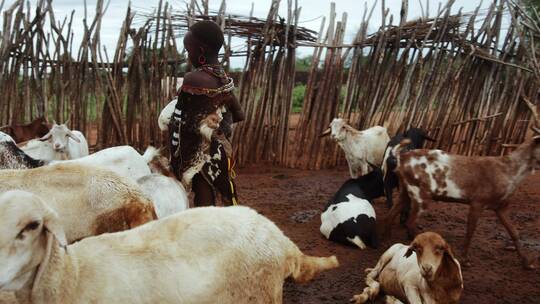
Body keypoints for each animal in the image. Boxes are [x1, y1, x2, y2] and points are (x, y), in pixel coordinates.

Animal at [384, 98, 540, 268]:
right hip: (420, 193)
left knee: (391, 214)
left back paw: (385, 242)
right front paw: (465, 260)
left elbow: (514, 232)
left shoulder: (501, 206)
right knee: (410, 222)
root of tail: (401, 158)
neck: (510, 173)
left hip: (406, 189)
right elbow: (470, 230)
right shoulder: (478, 200)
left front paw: (528, 263)